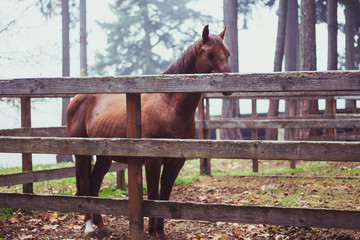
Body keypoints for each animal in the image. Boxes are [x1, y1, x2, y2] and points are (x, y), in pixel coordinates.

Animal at [65, 25, 231, 239]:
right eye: (209, 53)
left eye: (227, 53)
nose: (228, 85)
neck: (169, 105)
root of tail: (77, 98)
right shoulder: (153, 160)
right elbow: (153, 196)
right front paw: (152, 232)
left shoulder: (175, 162)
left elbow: (164, 196)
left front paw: (160, 232)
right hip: (81, 153)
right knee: (86, 184)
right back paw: (89, 227)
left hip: (104, 157)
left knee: (94, 183)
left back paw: (101, 226)